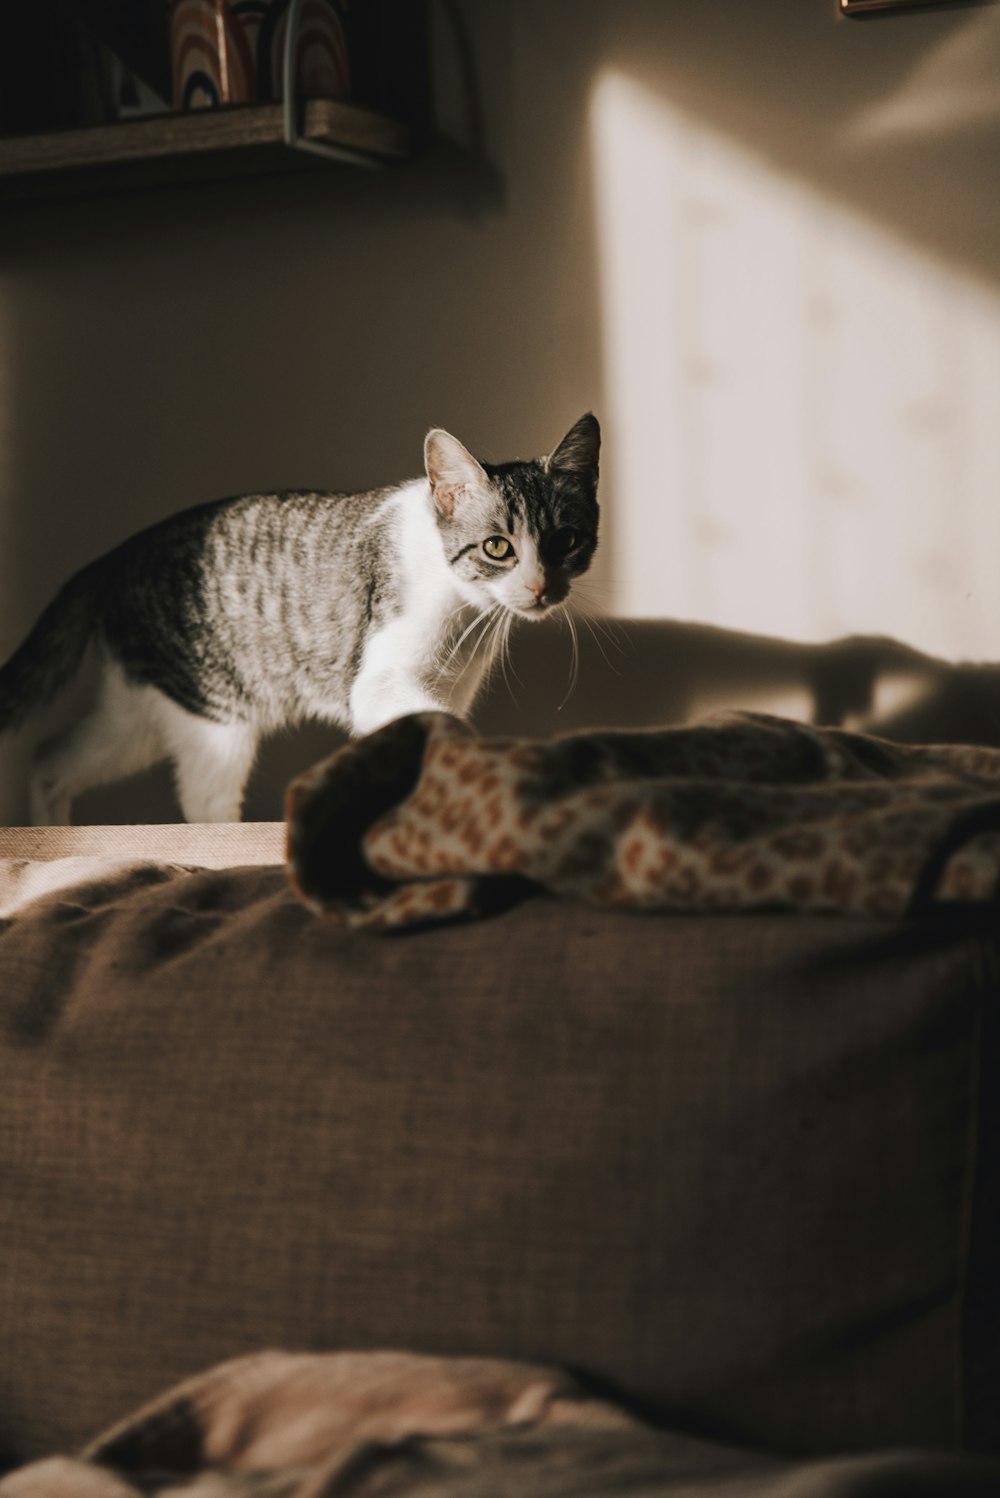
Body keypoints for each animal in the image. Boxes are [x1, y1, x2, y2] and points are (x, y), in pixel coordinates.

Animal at [0, 416, 598, 826]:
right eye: (498, 547)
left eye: (566, 541)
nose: (540, 587)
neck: (466, 610)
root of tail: (110, 558)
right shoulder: (379, 684)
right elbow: (436, 725)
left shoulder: (449, 685)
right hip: (214, 715)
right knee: (203, 806)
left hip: (138, 711)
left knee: (49, 756)